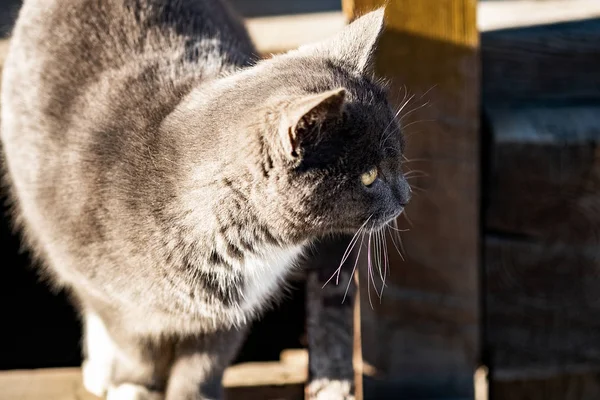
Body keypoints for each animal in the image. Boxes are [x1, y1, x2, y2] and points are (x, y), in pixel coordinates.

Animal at [0, 0, 410, 400]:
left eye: (399, 156)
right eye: (369, 176)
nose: (405, 196)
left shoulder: (238, 307)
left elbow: (206, 361)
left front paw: (193, 393)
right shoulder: (109, 292)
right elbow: (135, 343)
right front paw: (135, 385)